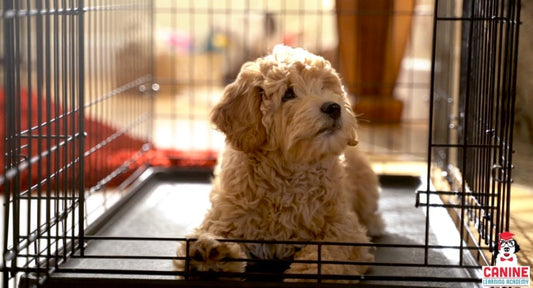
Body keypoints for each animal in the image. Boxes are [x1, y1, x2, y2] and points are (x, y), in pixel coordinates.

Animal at [175, 45, 382, 284]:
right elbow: (212, 229)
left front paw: (309, 274)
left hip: (365, 184)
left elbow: (329, 250)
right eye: (288, 94)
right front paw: (210, 253)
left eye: (325, 86)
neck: (288, 173)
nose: (334, 107)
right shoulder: (226, 214)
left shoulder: (345, 228)